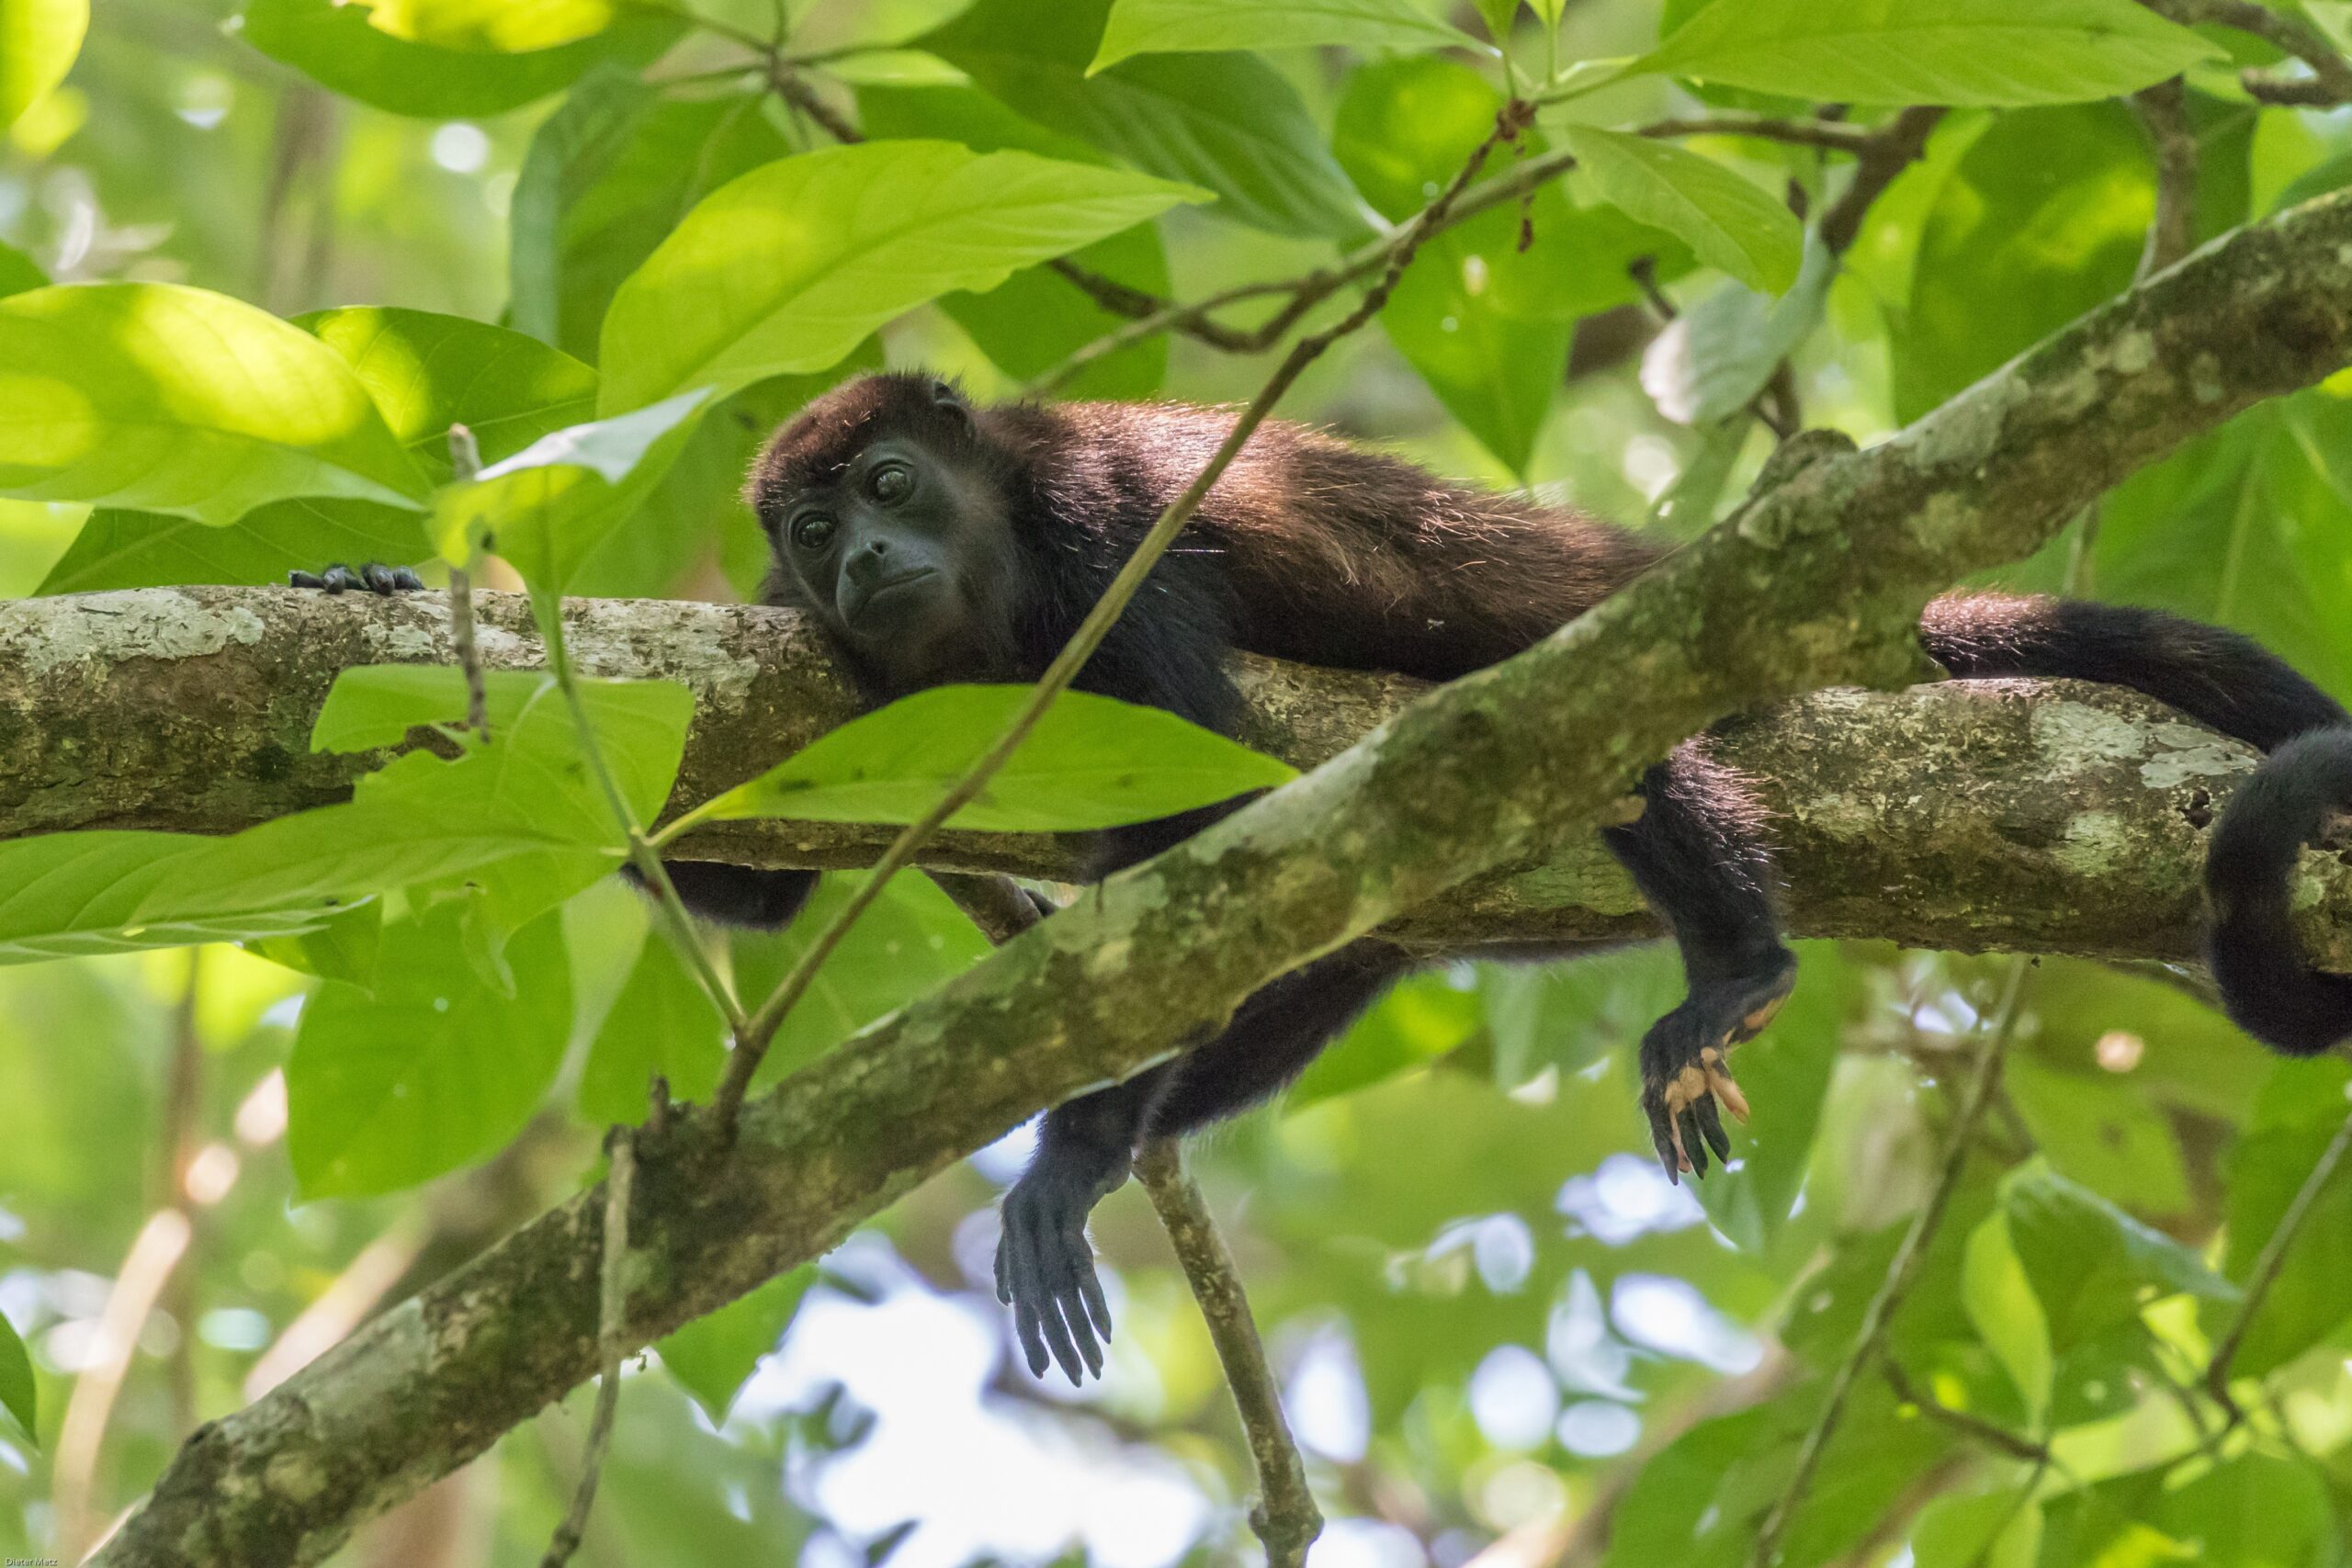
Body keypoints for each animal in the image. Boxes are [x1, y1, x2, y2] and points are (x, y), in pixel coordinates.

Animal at [303, 368, 2352, 1382]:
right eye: (806, 532)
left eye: (888, 486)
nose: (861, 557)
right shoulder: (833, 672)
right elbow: (738, 887)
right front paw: (387, 599)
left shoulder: (1112, 547)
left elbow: (1206, 828)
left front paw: (1062, 1148)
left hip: (1646, 632)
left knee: (1582, 718)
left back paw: (1735, 960)